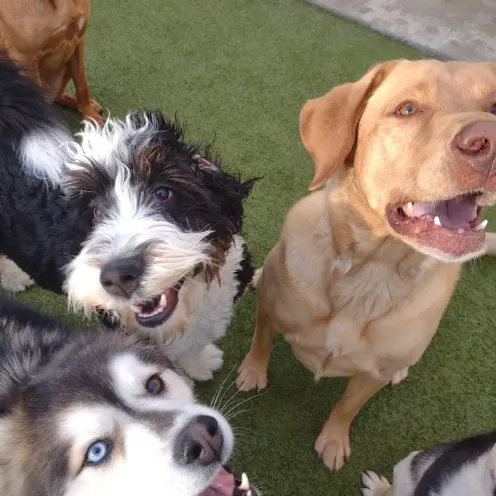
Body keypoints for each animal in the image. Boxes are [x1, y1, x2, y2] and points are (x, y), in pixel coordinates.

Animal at [235, 59, 496, 472]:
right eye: (407, 109)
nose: (488, 142)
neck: (371, 270)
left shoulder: (372, 374)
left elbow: (348, 406)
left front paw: (333, 440)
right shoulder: (271, 309)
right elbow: (260, 341)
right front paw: (252, 373)